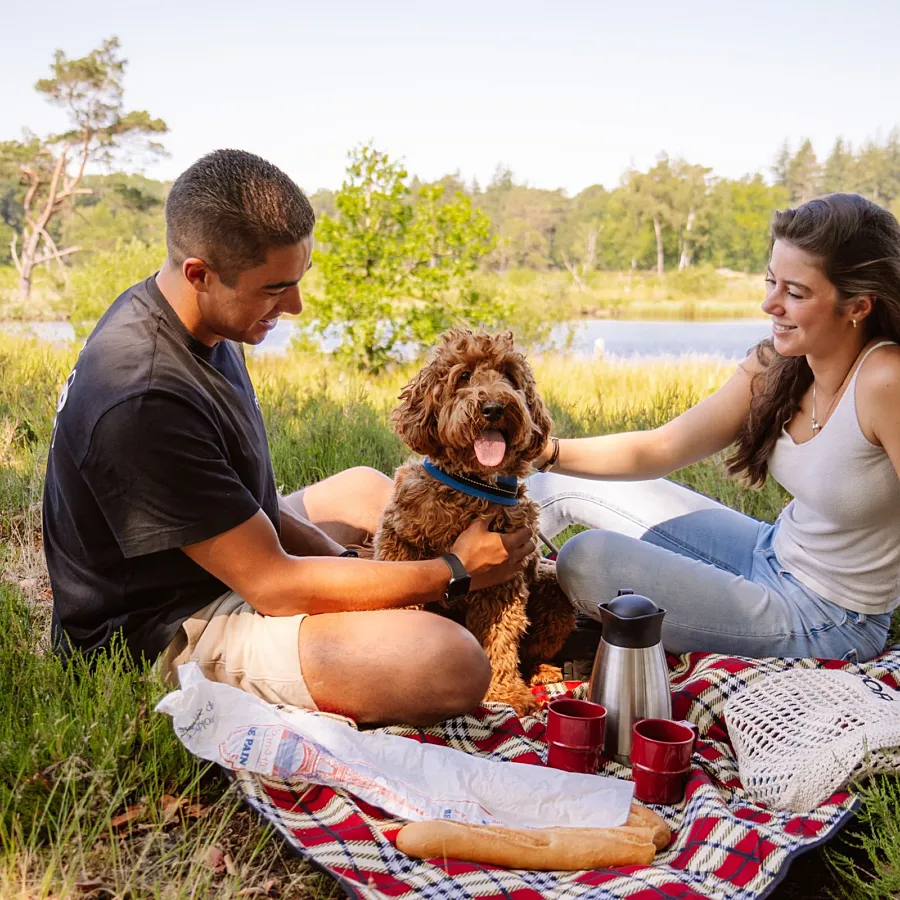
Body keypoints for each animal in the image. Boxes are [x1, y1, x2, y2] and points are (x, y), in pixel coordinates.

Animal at [374, 330, 576, 716]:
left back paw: (544, 673)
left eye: (509, 376)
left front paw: (505, 693)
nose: (494, 408)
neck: (473, 485)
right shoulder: (400, 544)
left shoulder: (505, 580)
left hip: (553, 591)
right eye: (464, 376)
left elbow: (500, 636)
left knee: (535, 651)